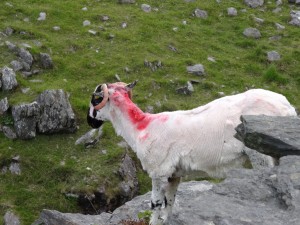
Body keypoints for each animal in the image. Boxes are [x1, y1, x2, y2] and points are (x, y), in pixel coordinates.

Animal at [86, 81, 296, 225]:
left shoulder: (158, 172)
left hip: (260, 154)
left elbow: (155, 203)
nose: (90, 122)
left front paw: (154, 221)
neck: (141, 127)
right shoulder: (173, 174)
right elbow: (169, 201)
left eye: (95, 99)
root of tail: (288, 109)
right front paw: (166, 219)